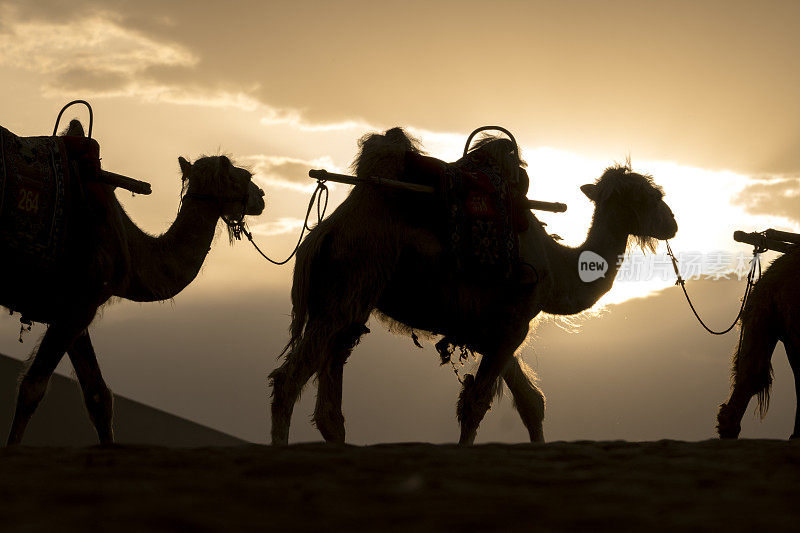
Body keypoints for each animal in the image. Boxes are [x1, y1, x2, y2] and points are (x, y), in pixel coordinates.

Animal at [1, 120, 268, 444]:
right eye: (246, 176)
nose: (262, 196)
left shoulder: (73, 310)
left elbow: (98, 397)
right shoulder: (79, 304)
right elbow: (33, 387)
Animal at [268, 129, 676, 444]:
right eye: (651, 196)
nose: (671, 223)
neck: (557, 268)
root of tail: (326, 232)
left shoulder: (494, 331)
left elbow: (531, 402)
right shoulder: (514, 324)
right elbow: (476, 405)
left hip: (346, 301)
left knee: (329, 405)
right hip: (350, 284)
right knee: (287, 382)